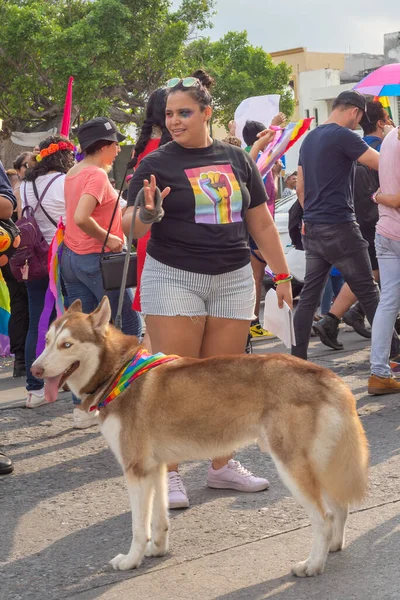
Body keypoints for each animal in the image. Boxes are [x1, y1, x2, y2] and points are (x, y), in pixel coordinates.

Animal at [32, 298, 368, 576]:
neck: (119, 372)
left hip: (292, 466)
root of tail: (327, 376)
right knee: (340, 508)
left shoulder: (135, 470)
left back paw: (312, 564)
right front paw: (157, 550)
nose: (35, 370)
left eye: (66, 345)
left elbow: (139, 527)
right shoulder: (155, 468)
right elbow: (159, 520)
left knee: (325, 518)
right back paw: (333, 547)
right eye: (47, 341)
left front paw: (131, 560)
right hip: (320, 464)